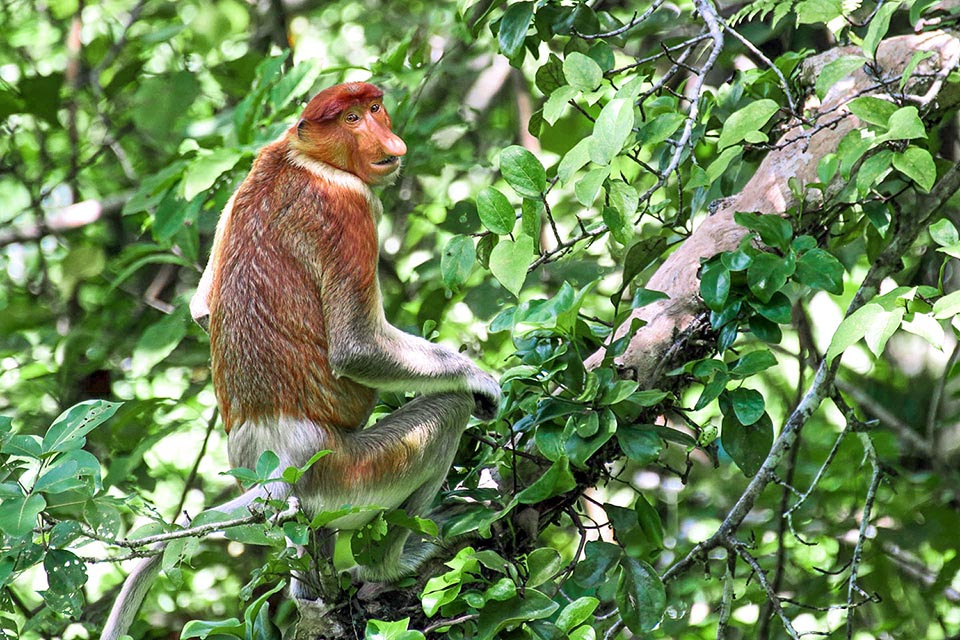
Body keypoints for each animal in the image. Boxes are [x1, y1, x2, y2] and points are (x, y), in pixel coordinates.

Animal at [100, 82, 498, 636]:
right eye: (351, 118)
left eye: (374, 108)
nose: (388, 141)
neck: (303, 157)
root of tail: (275, 469)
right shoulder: (351, 203)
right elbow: (356, 346)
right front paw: (482, 381)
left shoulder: (253, 167)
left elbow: (201, 309)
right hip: (346, 474)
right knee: (445, 415)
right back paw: (393, 563)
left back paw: (311, 593)